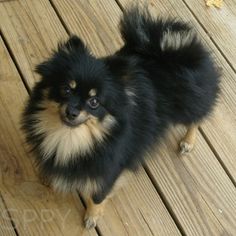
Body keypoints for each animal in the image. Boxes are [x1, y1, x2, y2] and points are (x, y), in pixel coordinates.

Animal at [21, 6, 220, 229]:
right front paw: (47, 176)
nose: (71, 111)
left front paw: (92, 216)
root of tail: (170, 46)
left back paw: (188, 141)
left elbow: (98, 196)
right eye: (66, 89)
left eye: (94, 102)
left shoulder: (111, 170)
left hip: (189, 106)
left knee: (197, 120)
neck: (71, 138)